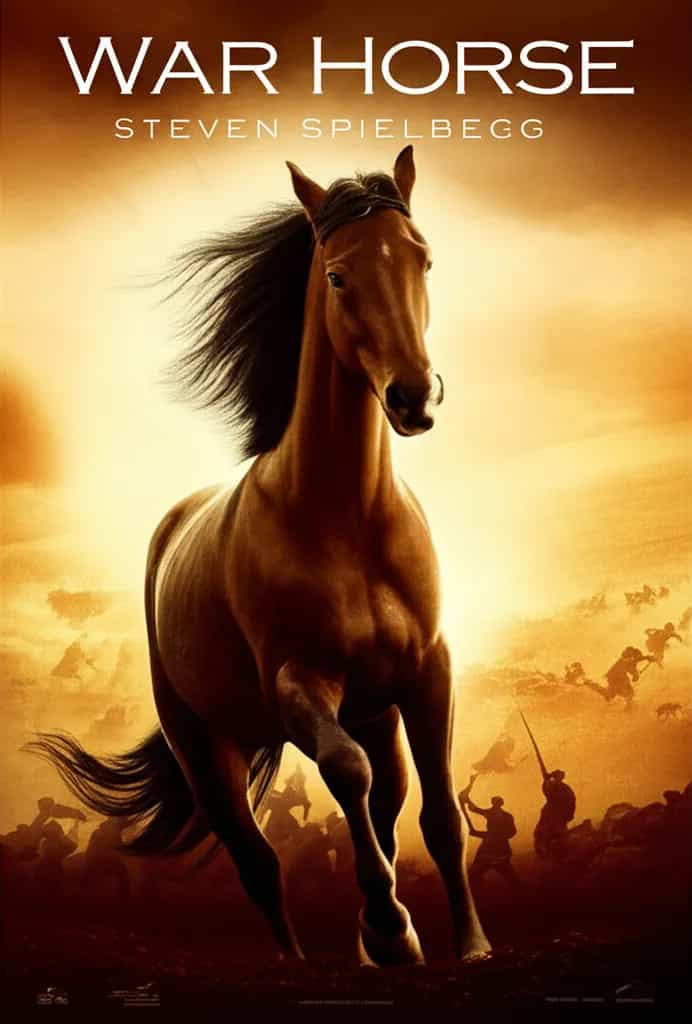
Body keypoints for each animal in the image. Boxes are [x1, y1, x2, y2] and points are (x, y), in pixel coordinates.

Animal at [25, 146, 490, 965]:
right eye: (337, 276)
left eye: (423, 258)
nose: (413, 399)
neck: (348, 517)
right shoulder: (298, 683)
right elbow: (344, 772)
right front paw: (388, 926)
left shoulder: (426, 672)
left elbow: (436, 813)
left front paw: (466, 947)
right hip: (210, 752)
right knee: (259, 863)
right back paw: (306, 958)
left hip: (371, 711)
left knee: (385, 799)